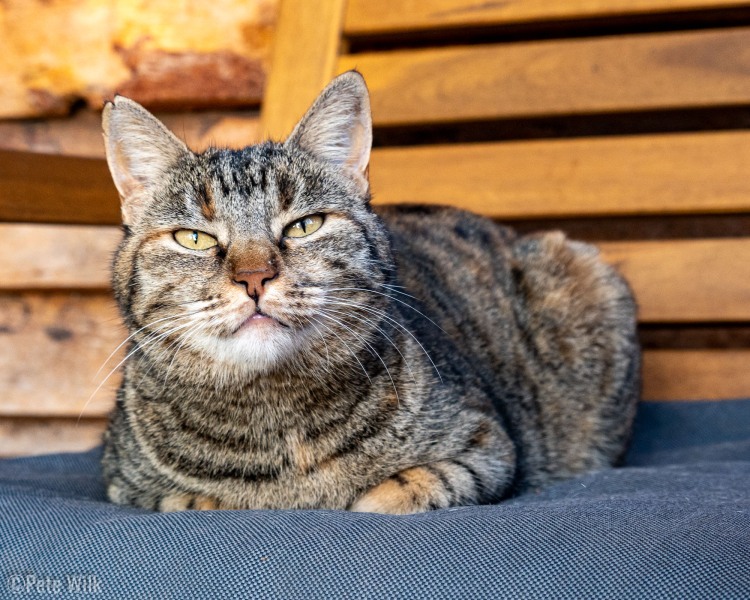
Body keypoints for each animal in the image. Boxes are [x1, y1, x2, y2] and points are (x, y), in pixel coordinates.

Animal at [100, 69, 640, 510]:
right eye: (194, 238)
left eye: (305, 226)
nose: (254, 277)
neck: (275, 419)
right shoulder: (126, 485)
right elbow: (184, 500)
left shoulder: (488, 446)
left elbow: (401, 491)